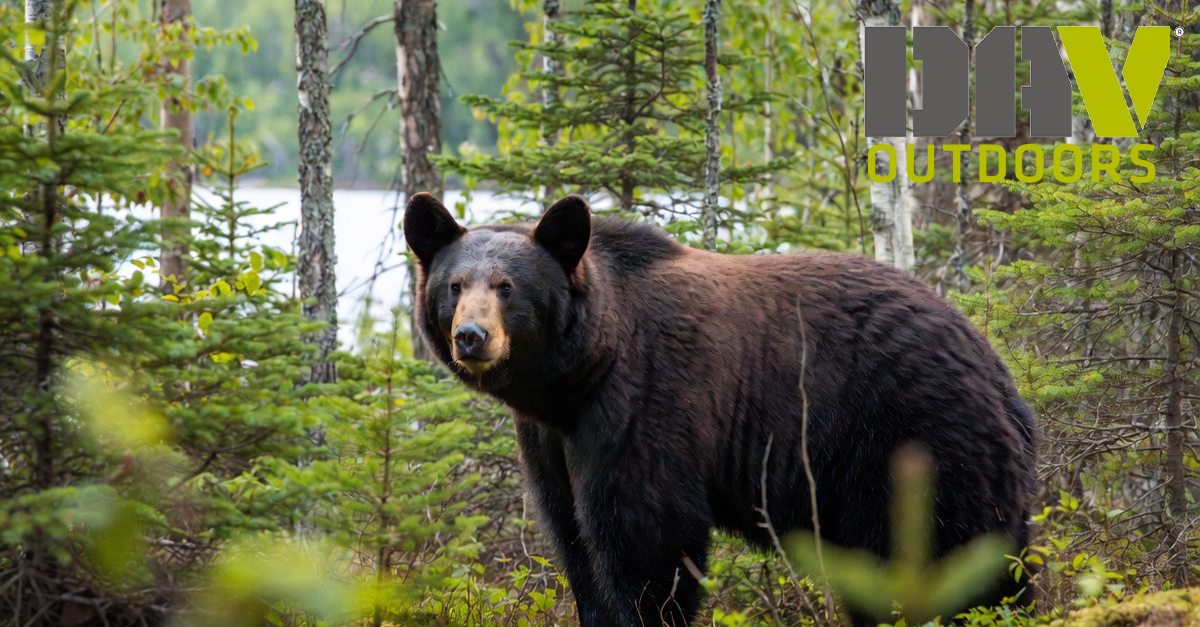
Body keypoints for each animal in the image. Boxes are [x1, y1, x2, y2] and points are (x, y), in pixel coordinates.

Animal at [403, 192, 1037, 627]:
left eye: (508, 286)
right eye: (455, 285)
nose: (472, 337)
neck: (582, 374)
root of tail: (999, 369)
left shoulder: (645, 407)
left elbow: (647, 542)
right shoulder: (549, 441)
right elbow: (574, 540)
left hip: (919, 442)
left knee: (962, 559)